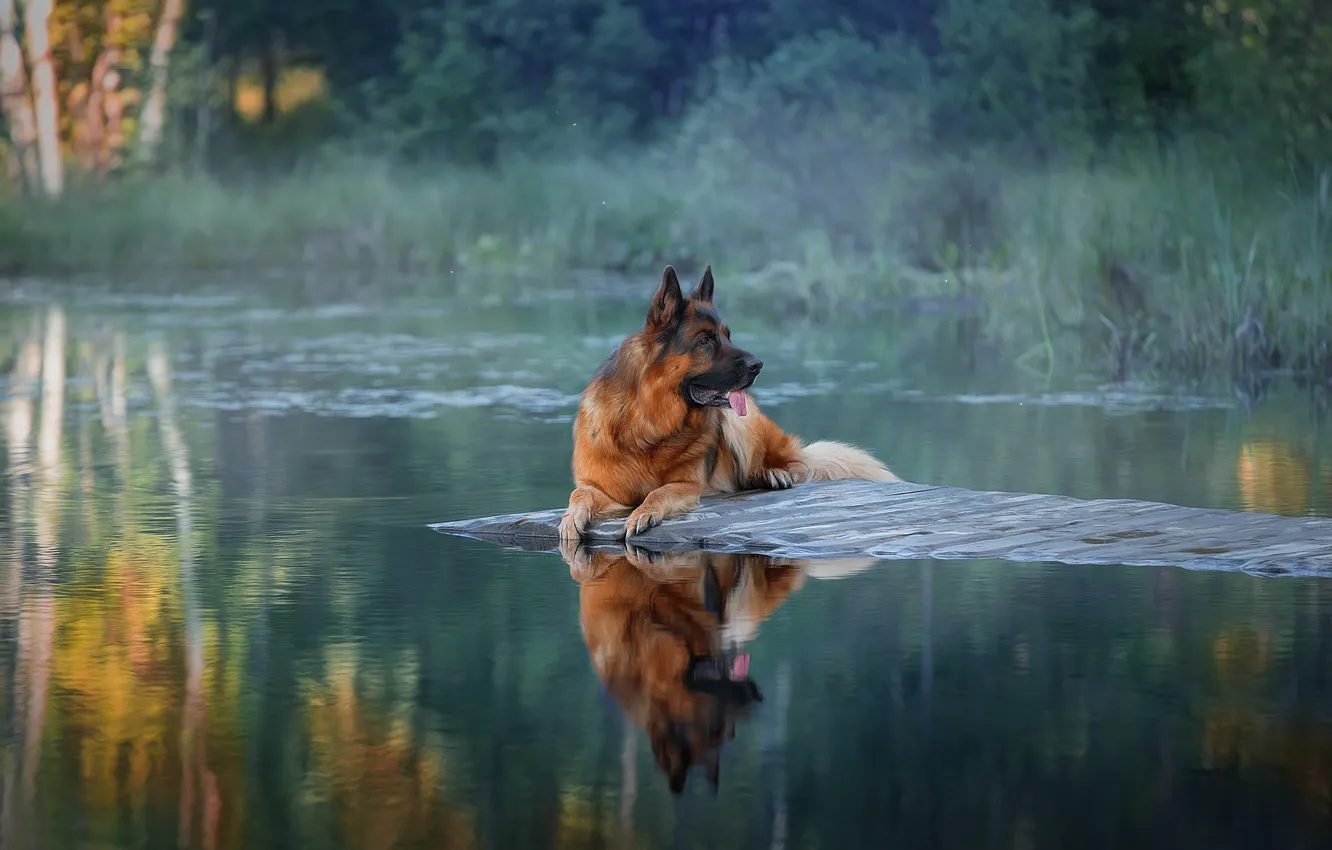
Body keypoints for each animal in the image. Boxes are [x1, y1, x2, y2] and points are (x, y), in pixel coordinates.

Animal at [556, 263, 900, 543]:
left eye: (728, 336)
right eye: (705, 340)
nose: (758, 365)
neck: (649, 422)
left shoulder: (688, 485)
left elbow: (659, 490)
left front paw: (644, 512)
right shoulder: (602, 488)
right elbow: (578, 494)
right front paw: (570, 519)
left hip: (741, 422)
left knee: (791, 464)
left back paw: (773, 474)